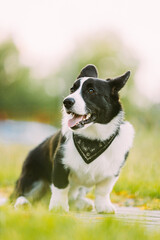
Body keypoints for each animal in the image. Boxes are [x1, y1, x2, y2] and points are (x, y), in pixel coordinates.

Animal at [11, 64, 134, 213]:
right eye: (72, 89)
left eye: (91, 91)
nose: (66, 102)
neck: (93, 139)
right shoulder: (60, 163)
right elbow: (61, 187)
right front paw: (58, 207)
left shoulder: (112, 172)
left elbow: (103, 191)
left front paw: (103, 207)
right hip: (32, 179)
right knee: (20, 194)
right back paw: (22, 203)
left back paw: (82, 203)